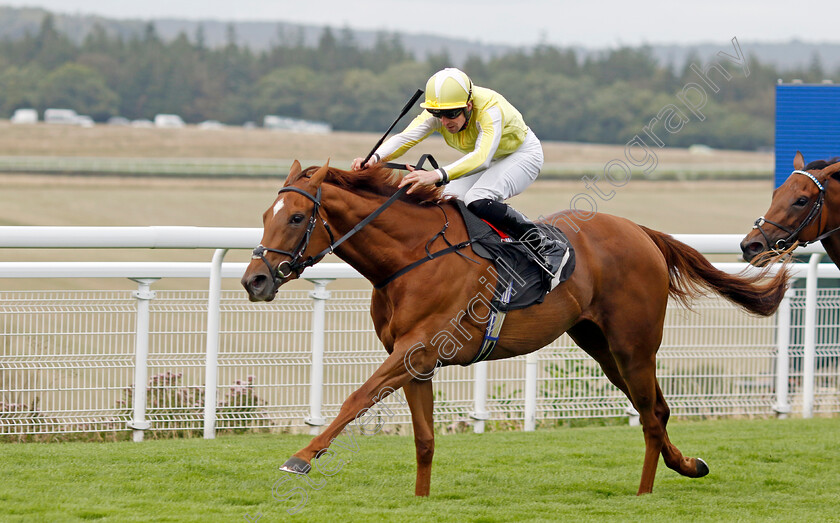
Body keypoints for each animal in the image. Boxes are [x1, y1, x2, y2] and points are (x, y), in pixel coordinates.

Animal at [241, 160, 788, 496]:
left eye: (296, 217)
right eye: (265, 213)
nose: (254, 280)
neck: (411, 257)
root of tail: (641, 232)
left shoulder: (416, 348)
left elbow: (356, 398)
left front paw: (301, 458)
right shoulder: (417, 362)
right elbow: (424, 440)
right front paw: (420, 500)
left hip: (634, 346)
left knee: (652, 415)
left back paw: (645, 491)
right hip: (602, 347)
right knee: (656, 407)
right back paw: (688, 465)